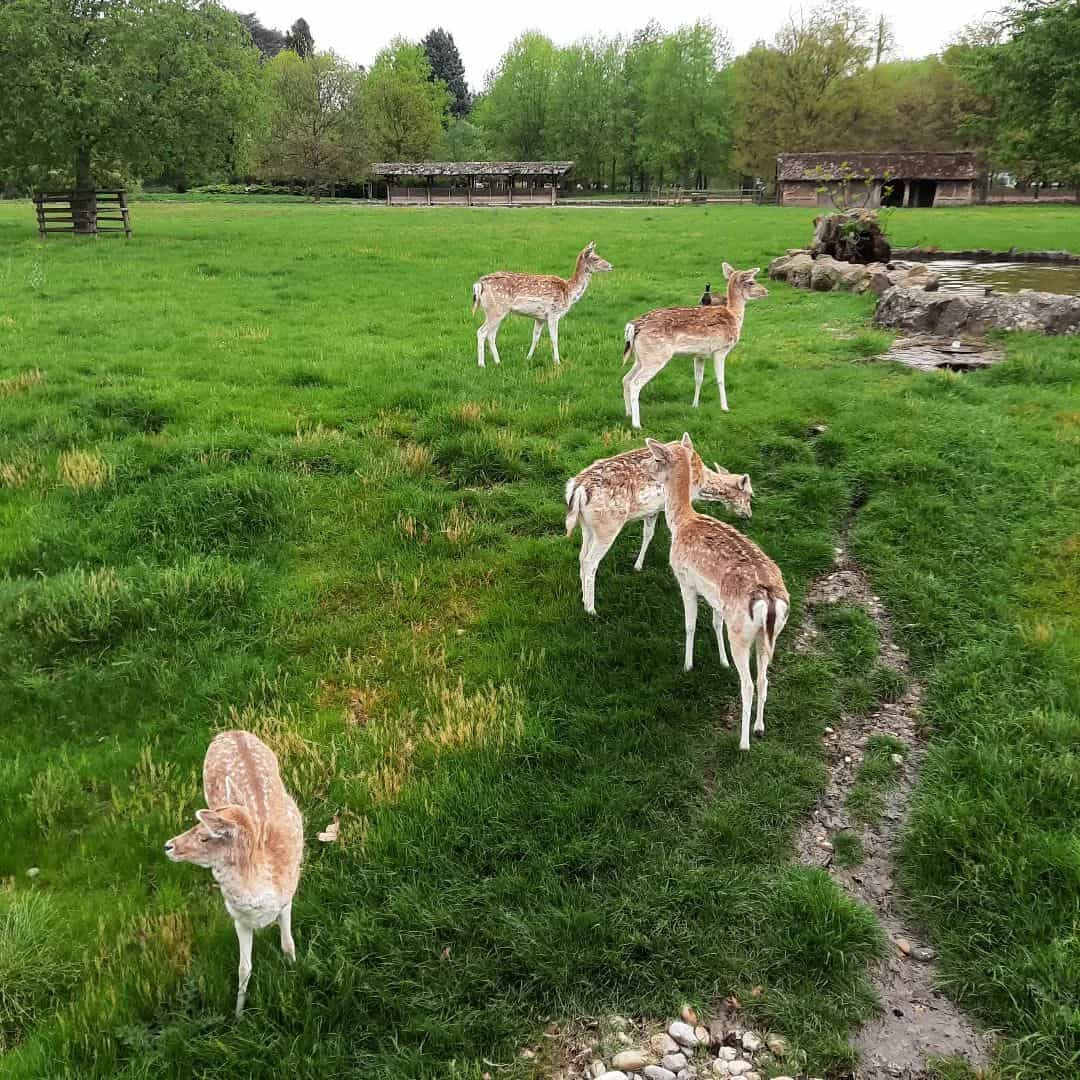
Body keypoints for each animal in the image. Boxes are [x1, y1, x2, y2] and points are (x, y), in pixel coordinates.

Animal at [166, 730, 306, 1015]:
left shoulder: (286, 900)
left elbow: (288, 945)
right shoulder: (238, 918)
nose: (168, 846)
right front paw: (239, 1013)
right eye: (195, 827)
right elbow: (244, 968)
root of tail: (232, 732)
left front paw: (294, 974)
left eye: (206, 837)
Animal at [475, 240, 617, 367]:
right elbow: (554, 338)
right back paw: (482, 364)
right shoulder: (554, 313)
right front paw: (557, 362)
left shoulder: (540, 317)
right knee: (481, 332)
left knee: (491, 335)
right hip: (496, 309)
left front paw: (528, 358)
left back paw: (498, 362)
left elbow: (535, 337)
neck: (568, 293)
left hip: (496, 311)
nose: (611, 266)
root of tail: (478, 285)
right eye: (595, 258)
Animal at [565, 432, 751, 617]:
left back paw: (583, 599)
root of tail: (577, 490)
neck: (702, 483)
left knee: (581, 556)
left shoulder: (652, 509)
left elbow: (648, 534)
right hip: (607, 526)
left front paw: (638, 565)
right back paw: (591, 609)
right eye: (750, 495)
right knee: (590, 562)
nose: (748, 515)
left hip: (587, 525)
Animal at [622, 263, 764, 427]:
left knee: (626, 379)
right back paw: (637, 424)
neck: (734, 317)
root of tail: (632, 327)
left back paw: (628, 413)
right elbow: (720, 379)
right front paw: (725, 407)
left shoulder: (699, 355)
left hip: (641, 357)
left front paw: (695, 405)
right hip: (656, 355)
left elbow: (698, 379)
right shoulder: (721, 349)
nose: (766, 291)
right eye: (751, 282)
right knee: (635, 383)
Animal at [643, 432, 790, 751]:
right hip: (768, 636)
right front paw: (722, 661)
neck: (681, 521)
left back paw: (744, 742)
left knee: (748, 683)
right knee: (764, 678)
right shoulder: (715, 597)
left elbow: (690, 624)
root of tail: (769, 599)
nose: (646, 469)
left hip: (742, 633)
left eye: (657, 458)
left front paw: (687, 664)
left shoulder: (685, 580)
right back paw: (760, 727)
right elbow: (714, 622)